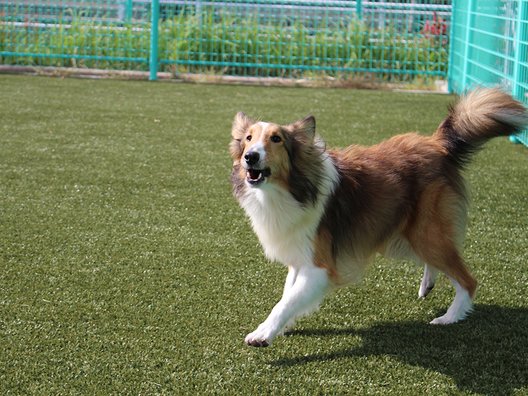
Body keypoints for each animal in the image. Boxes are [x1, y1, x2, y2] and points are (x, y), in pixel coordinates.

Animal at [229, 89, 524, 346]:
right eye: (248, 138)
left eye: (276, 139)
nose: (250, 157)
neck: (291, 188)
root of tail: (437, 143)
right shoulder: (300, 256)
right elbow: (289, 294)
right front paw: (283, 326)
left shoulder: (319, 266)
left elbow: (285, 302)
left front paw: (263, 333)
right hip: (410, 232)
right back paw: (428, 286)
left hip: (425, 231)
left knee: (467, 280)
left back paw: (450, 317)